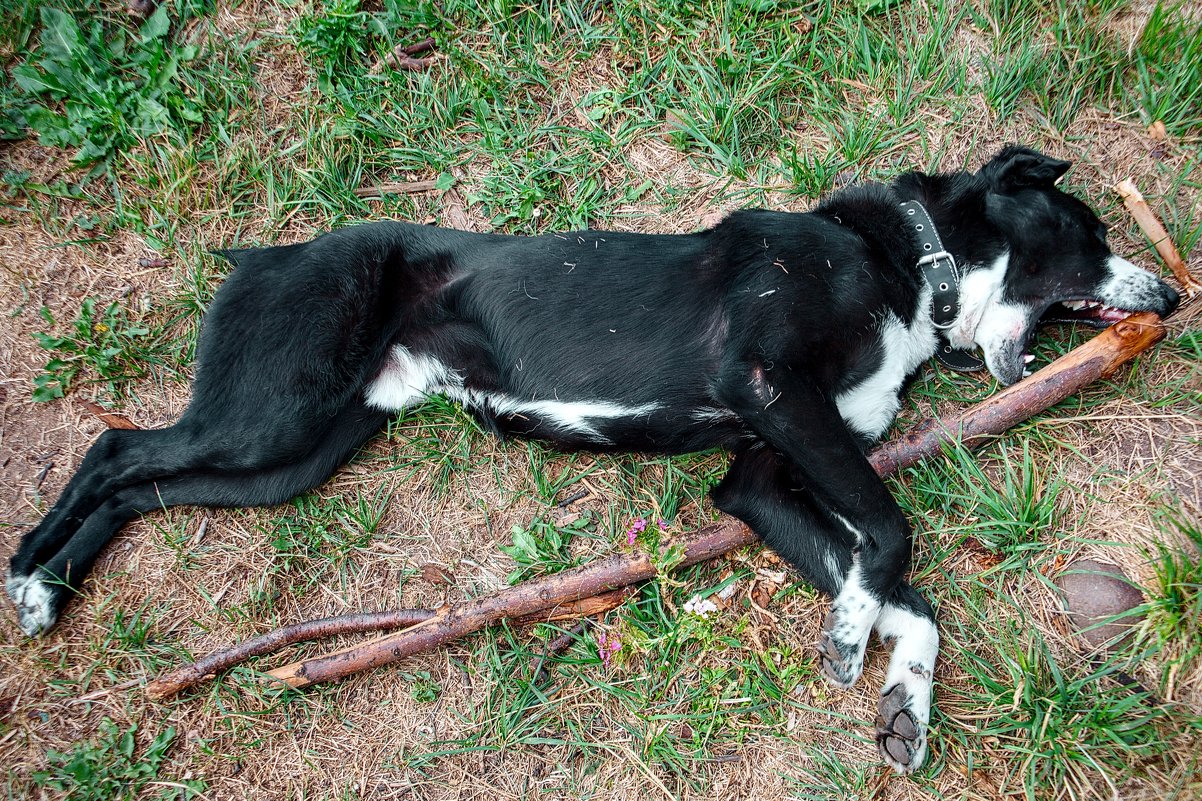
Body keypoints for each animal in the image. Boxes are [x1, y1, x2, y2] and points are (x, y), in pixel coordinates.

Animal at [4, 146, 1177, 769]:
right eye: (1085, 228)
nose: (1168, 296)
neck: (900, 264)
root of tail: (262, 251)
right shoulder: (769, 385)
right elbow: (888, 535)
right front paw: (851, 640)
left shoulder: (759, 473)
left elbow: (898, 582)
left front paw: (903, 695)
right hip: (273, 410)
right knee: (114, 446)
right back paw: (31, 579)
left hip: (298, 451)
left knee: (145, 478)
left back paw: (53, 584)